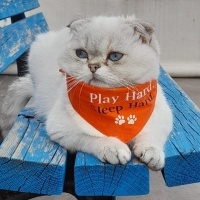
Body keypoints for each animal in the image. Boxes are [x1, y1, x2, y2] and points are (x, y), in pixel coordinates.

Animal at [0, 16, 173, 171]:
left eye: (115, 56)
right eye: (81, 54)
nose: (93, 66)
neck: (112, 104)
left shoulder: (162, 119)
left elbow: (151, 137)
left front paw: (152, 154)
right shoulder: (62, 128)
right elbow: (96, 138)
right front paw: (115, 149)